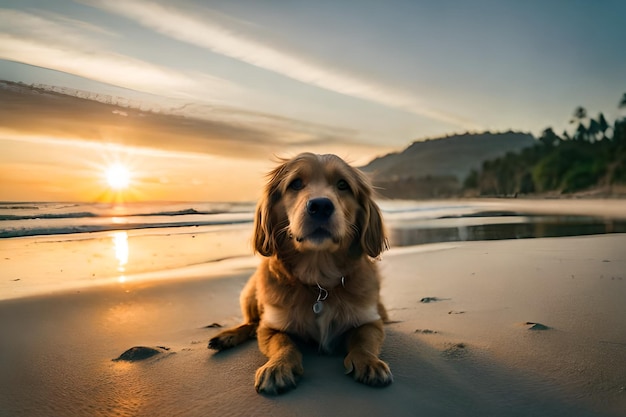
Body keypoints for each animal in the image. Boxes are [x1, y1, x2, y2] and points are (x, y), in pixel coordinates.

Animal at [207, 152, 392, 394]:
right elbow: (283, 344)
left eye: (343, 185)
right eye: (295, 184)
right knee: (251, 323)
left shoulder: (369, 321)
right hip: (249, 292)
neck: (319, 279)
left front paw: (369, 362)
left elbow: (364, 342)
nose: (321, 206)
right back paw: (227, 336)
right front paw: (278, 366)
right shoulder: (272, 326)